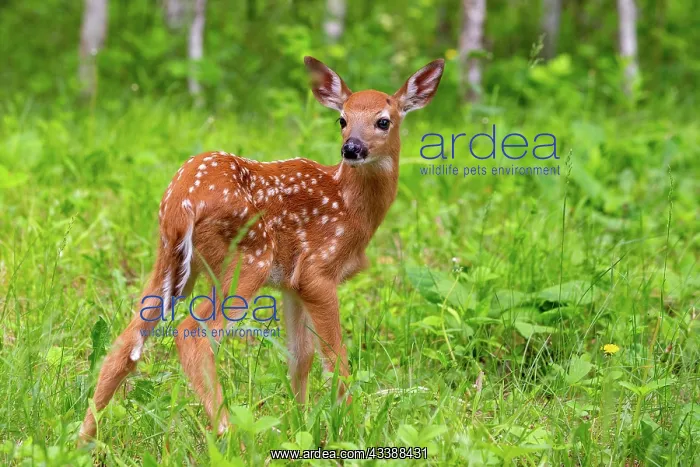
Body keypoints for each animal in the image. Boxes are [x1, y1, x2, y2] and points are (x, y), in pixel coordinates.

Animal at [80, 56, 444, 441]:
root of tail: (181, 201)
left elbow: (301, 356)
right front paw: (348, 427)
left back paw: (83, 439)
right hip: (247, 258)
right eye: (342, 119)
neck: (350, 207)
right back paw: (229, 434)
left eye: (383, 121)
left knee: (126, 341)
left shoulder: (292, 285)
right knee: (192, 334)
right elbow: (335, 358)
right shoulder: (318, 270)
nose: (352, 148)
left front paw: (301, 424)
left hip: (170, 260)